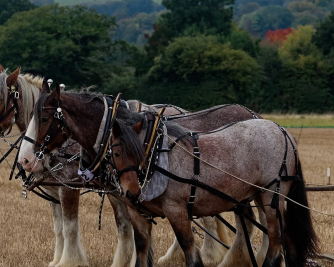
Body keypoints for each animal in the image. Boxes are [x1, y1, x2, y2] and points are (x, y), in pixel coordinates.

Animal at [19, 86, 318, 267]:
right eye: (31, 115)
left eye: (45, 118)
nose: (25, 160)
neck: (150, 152)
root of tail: (282, 131)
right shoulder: (133, 209)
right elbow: (139, 249)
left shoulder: (176, 211)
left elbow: (191, 254)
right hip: (258, 197)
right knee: (282, 240)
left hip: (272, 197)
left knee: (275, 243)